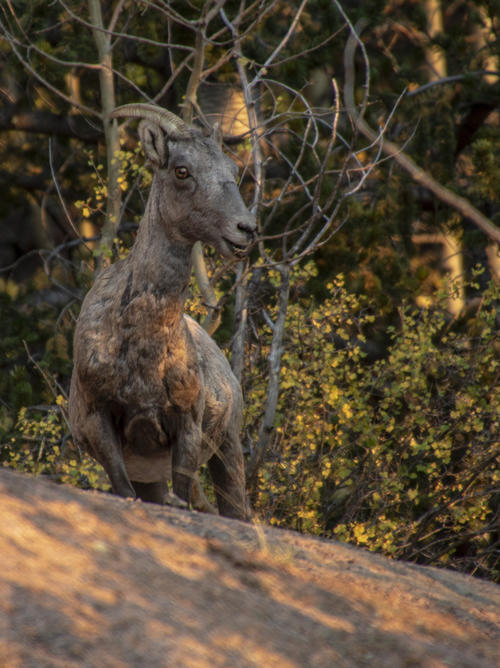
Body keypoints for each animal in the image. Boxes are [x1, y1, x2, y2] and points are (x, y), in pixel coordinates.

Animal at [68, 105, 256, 520]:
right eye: (181, 171)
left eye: (231, 170)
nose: (246, 229)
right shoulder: (100, 420)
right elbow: (125, 491)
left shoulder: (187, 424)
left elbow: (183, 497)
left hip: (228, 446)